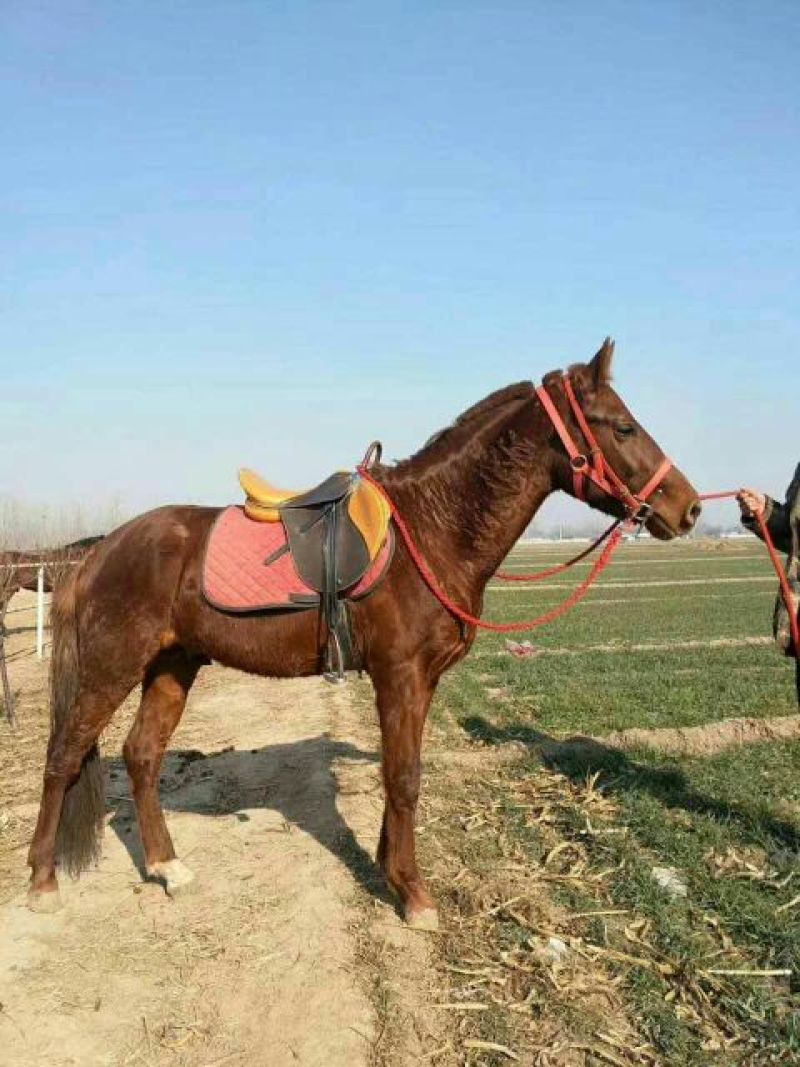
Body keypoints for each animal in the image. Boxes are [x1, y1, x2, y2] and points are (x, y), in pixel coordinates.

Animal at [28, 341, 699, 926]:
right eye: (622, 427)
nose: (688, 508)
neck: (432, 528)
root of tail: (99, 551)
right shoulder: (398, 675)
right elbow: (403, 778)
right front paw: (415, 895)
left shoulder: (420, 681)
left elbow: (403, 773)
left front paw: (390, 871)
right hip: (112, 666)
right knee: (63, 755)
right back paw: (42, 883)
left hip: (173, 664)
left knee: (142, 755)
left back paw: (168, 867)